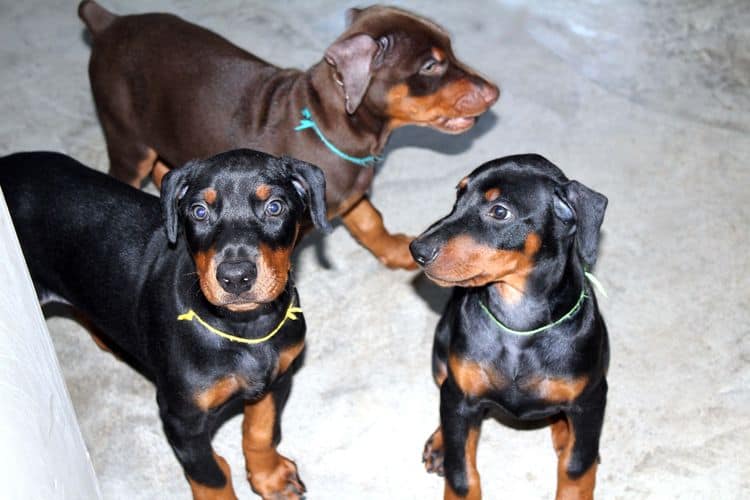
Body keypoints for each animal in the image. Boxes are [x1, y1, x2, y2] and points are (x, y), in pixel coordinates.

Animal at [0, 149, 332, 500]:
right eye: (199, 211)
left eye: (275, 207)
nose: (235, 277)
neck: (244, 329)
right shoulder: (181, 419)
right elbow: (211, 476)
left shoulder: (278, 376)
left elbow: (261, 430)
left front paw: (270, 478)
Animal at [79, 0, 502, 270]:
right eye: (431, 65)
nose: (495, 92)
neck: (328, 124)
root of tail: (109, 23)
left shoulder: (349, 192)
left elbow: (369, 219)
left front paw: (397, 252)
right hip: (127, 139)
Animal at [412, 154, 612, 498]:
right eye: (458, 195)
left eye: (499, 211)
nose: (416, 250)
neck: (518, 324)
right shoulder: (460, 396)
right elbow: (461, 473)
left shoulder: (592, 397)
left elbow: (576, 466)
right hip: (441, 350)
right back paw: (440, 445)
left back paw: (566, 434)